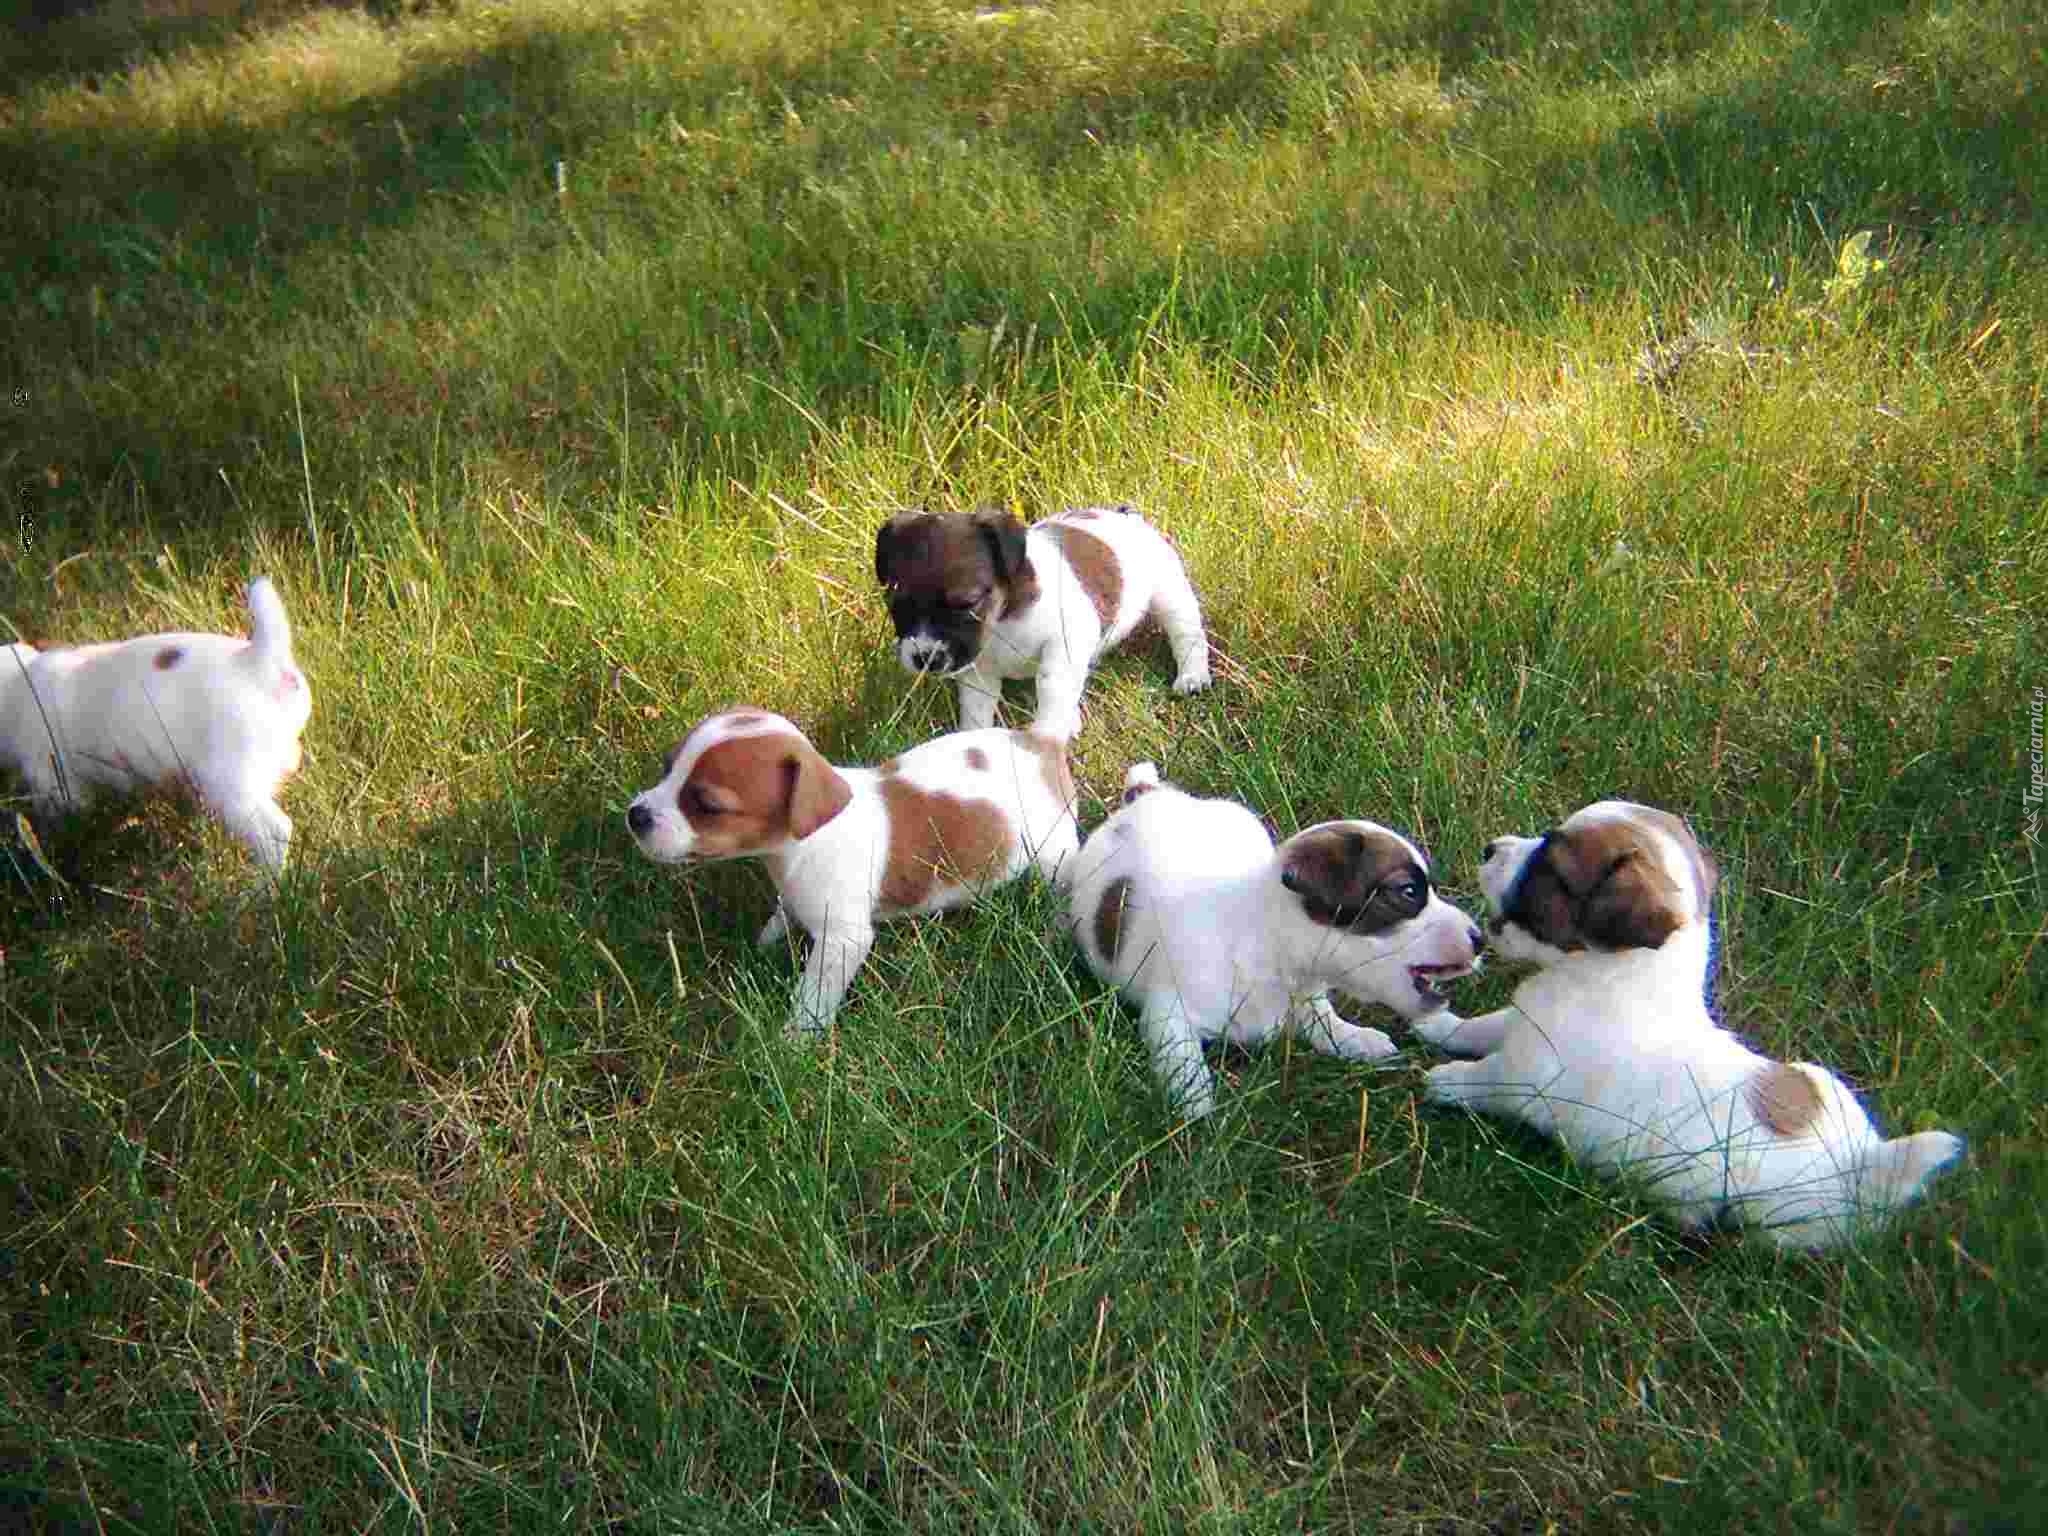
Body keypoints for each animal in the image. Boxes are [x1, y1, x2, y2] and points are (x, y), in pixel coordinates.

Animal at [622, 716, 1081, 1040]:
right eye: (667, 767)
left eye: (707, 805)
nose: (635, 815)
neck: (802, 843)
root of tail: (1042, 740)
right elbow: (784, 912)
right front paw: (767, 941)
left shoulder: (842, 941)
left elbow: (813, 995)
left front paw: (795, 1040)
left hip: (1054, 855)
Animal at [868, 505, 1212, 745]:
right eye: (896, 604)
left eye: (966, 603)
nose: (925, 658)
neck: (1003, 620)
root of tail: (1127, 516)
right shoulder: (978, 674)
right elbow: (977, 710)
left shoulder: (1065, 641)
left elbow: (1052, 690)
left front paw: (1046, 736)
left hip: (1170, 593)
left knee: (1187, 635)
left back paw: (1192, 676)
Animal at [1064, 765, 1482, 1122]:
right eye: (1408, 892)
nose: (1479, 938)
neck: (1265, 942)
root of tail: (1145, 796)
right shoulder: (1170, 1015)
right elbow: (1184, 1063)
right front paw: (1196, 1107)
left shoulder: (1306, 995)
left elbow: (1322, 1020)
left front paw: (1350, 1037)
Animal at [1409, 806, 1966, 1253]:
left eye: (1548, 862)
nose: (1490, 848)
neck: (1619, 978)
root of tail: (1864, 1164)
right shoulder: (1519, 1025)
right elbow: (1482, 1028)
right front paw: (1438, 1025)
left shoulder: (1524, 1078)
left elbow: (1485, 1078)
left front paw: (1444, 1081)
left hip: (1770, 1223)